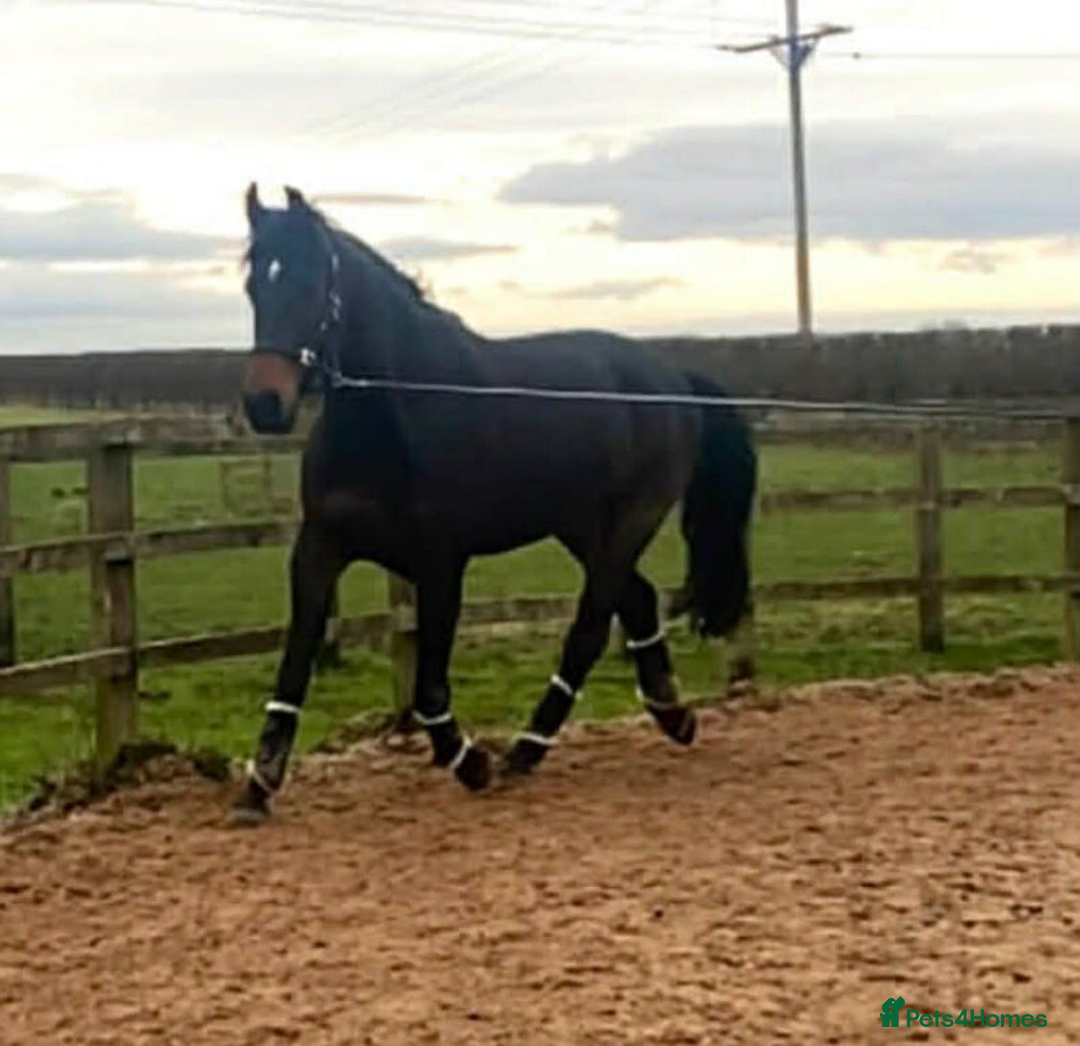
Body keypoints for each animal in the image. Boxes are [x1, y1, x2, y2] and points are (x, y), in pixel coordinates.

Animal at [234, 182, 756, 822]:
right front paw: (259, 784)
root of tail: (673, 380)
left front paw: (469, 761)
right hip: (583, 527)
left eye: (311, 284)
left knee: (591, 625)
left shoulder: (440, 563)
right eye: (255, 285)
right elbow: (294, 665)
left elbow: (430, 686)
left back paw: (527, 749)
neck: (397, 414)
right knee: (635, 599)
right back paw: (671, 714)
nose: (265, 403)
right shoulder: (320, 548)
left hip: (632, 519)